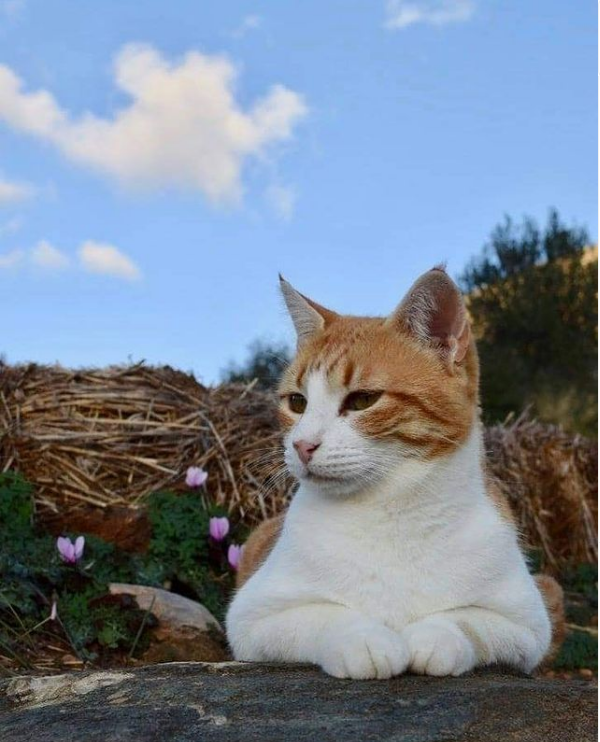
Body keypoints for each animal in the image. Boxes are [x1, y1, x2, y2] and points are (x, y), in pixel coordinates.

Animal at [224, 268, 564, 680]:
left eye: (363, 400)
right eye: (297, 402)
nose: (302, 445)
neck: (391, 510)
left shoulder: (528, 625)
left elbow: (467, 619)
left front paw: (434, 639)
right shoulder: (252, 616)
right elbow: (327, 615)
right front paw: (365, 640)